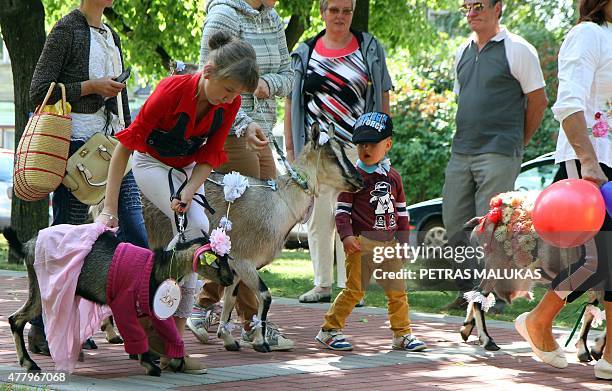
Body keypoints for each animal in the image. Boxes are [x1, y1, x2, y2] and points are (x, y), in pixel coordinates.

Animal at [1, 228, 234, 378]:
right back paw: (30, 363)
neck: (157, 267)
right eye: (216, 261)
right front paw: (151, 366)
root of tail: (28, 245)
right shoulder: (124, 303)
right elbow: (135, 332)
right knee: (16, 319)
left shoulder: (152, 307)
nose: (231, 278)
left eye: (226, 258)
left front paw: (177, 361)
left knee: (16, 319)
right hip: (44, 286)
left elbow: (169, 331)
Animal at [143, 124, 364, 354]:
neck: (278, 204)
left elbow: (230, 299)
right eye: (332, 155)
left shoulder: (232, 267)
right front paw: (261, 342)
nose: (360, 180)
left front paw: (228, 339)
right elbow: (265, 295)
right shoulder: (243, 260)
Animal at [462, 191, 604, 362]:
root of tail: (484, 219)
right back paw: (488, 340)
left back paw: (466, 329)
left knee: (476, 292)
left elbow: (590, 312)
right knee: (479, 296)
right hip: (496, 264)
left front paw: (586, 351)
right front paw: (595, 350)